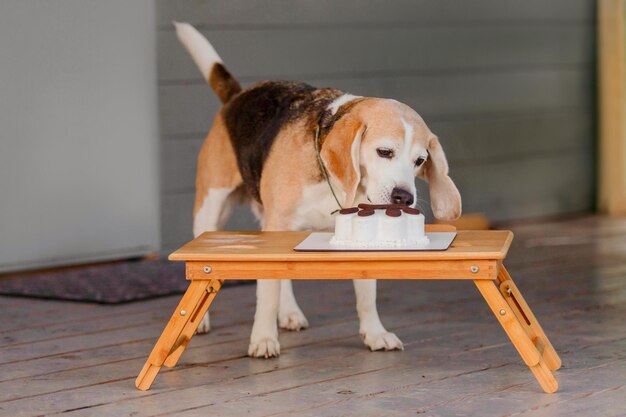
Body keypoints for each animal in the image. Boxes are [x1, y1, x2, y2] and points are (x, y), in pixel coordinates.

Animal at [174, 23, 458, 358]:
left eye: (420, 161)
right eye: (384, 152)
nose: (404, 198)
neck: (331, 181)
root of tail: (238, 95)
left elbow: (367, 293)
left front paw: (375, 333)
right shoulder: (277, 224)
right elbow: (266, 291)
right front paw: (263, 338)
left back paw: (289, 313)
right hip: (211, 209)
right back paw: (201, 321)